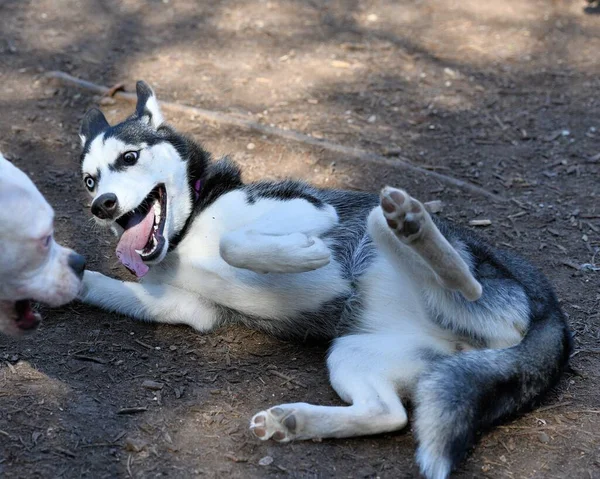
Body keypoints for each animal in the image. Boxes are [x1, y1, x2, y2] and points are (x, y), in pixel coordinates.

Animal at [78, 82, 572, 479]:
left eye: (129, 157)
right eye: (88, 180)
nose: (102, 205)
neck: (188, 227)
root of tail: (550, 311)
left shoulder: (310, 211)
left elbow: (234, 244)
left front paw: (301, 255)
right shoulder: (186, 307)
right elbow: (103, 284)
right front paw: (69, 278)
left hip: (391, 238)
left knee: (460, 279)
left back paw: (415, 225)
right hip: (351, 353)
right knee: (388, 415)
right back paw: (294, 422)